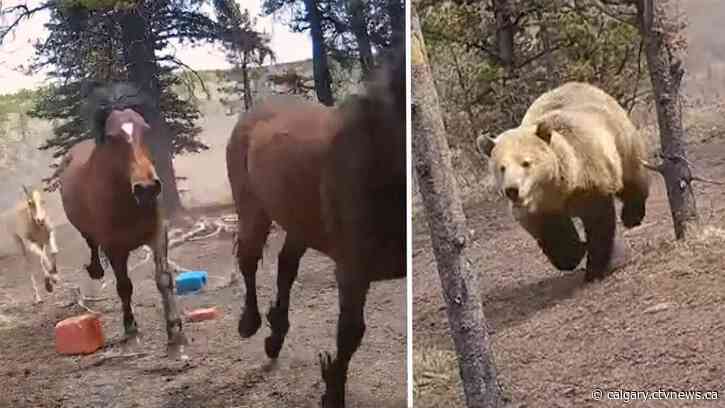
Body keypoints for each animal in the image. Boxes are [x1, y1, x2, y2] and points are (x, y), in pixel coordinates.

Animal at [57, 81, 187, 358]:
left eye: (145, 129)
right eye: (112, 137)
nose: (146, 188)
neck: (128, 203)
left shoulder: (157, 234)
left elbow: (164, 279)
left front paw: (176, 335)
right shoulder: (114, 247)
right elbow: (124, 286)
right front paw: (131, 332)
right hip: (87, 231)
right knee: (91, 243)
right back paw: (95, 270)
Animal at [226, 45, 405, 407]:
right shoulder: (352, 270)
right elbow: (350, 333)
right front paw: (332, 393)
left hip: (299, 221)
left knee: (285, 266)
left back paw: (275, 335)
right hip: (254, 212)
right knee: (249, 260)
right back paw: (251, 323)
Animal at [476, 82, 651, 282]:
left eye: (526, 163)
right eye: (502, 167)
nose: (512, 190)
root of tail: (580, 84)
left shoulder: (588, 176)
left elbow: (598, 222)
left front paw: (594, 268)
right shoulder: (541, 207)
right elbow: (552, 232)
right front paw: (574, 253)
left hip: (619, 136)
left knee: (632, 175)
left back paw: (632, 215)